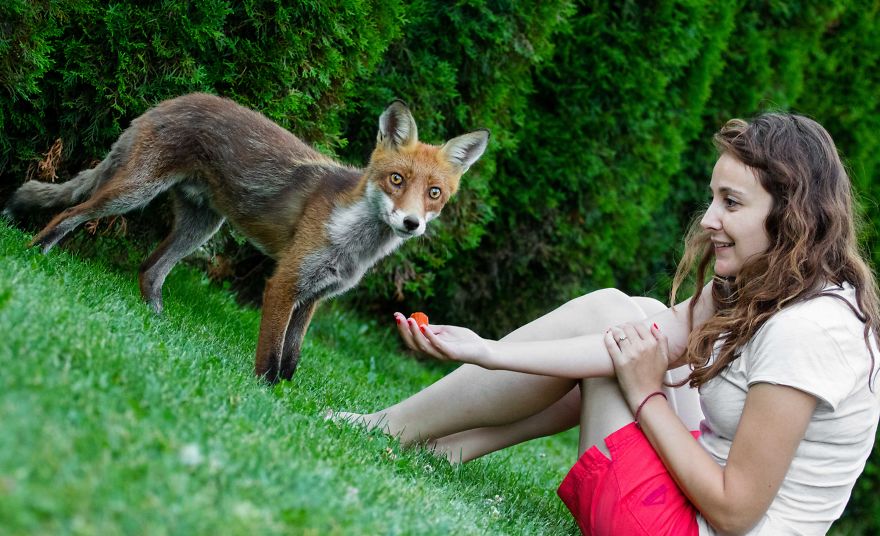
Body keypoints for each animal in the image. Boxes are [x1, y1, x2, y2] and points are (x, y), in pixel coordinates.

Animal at [4, 93, 489, 383]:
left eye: (434, 193)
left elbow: (291, 359)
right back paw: (35, 254)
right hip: (130, 195)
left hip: (200, 227)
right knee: (69, 213)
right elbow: (270, 357)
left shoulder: (314, 296)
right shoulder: (284, 284)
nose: (410, 223)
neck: (354, 238)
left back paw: (156, 320)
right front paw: (264, 395)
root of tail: (174, 99)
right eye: (396, 180)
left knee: (149, 269)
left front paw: (290, 402)